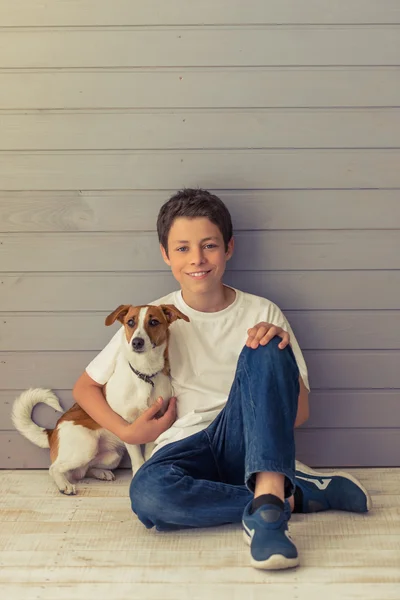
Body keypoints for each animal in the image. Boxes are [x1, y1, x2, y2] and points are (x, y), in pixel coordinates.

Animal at [10, 302, 189, 494]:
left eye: (154, 322)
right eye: (130, 322)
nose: (136, 342)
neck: (144, 374)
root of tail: (52, 432)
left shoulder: (156, 422)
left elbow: (147, 455)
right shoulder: (130, 427)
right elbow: (137, 459)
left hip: (113, 456)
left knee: (83, 470)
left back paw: (101, 473)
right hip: (87, 445)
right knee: (55, 468)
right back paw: (64, 484)